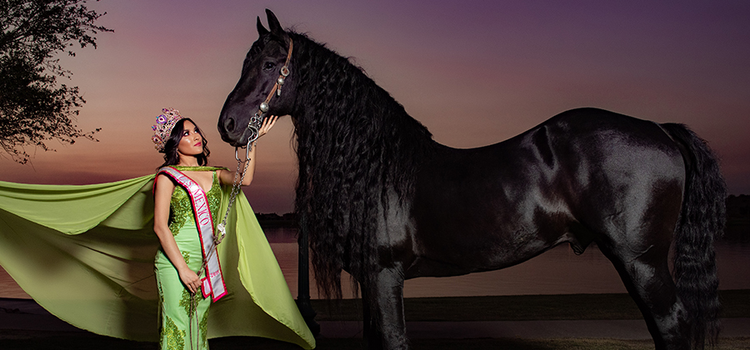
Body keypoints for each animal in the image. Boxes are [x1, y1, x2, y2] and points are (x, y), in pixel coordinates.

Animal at [217, 9, 728, 348]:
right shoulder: (369, 281)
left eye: (269, 65)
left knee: (670, 327)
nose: (228, 124)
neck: (376, 165)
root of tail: (660, 128)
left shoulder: (385, 276)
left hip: (642, 262)